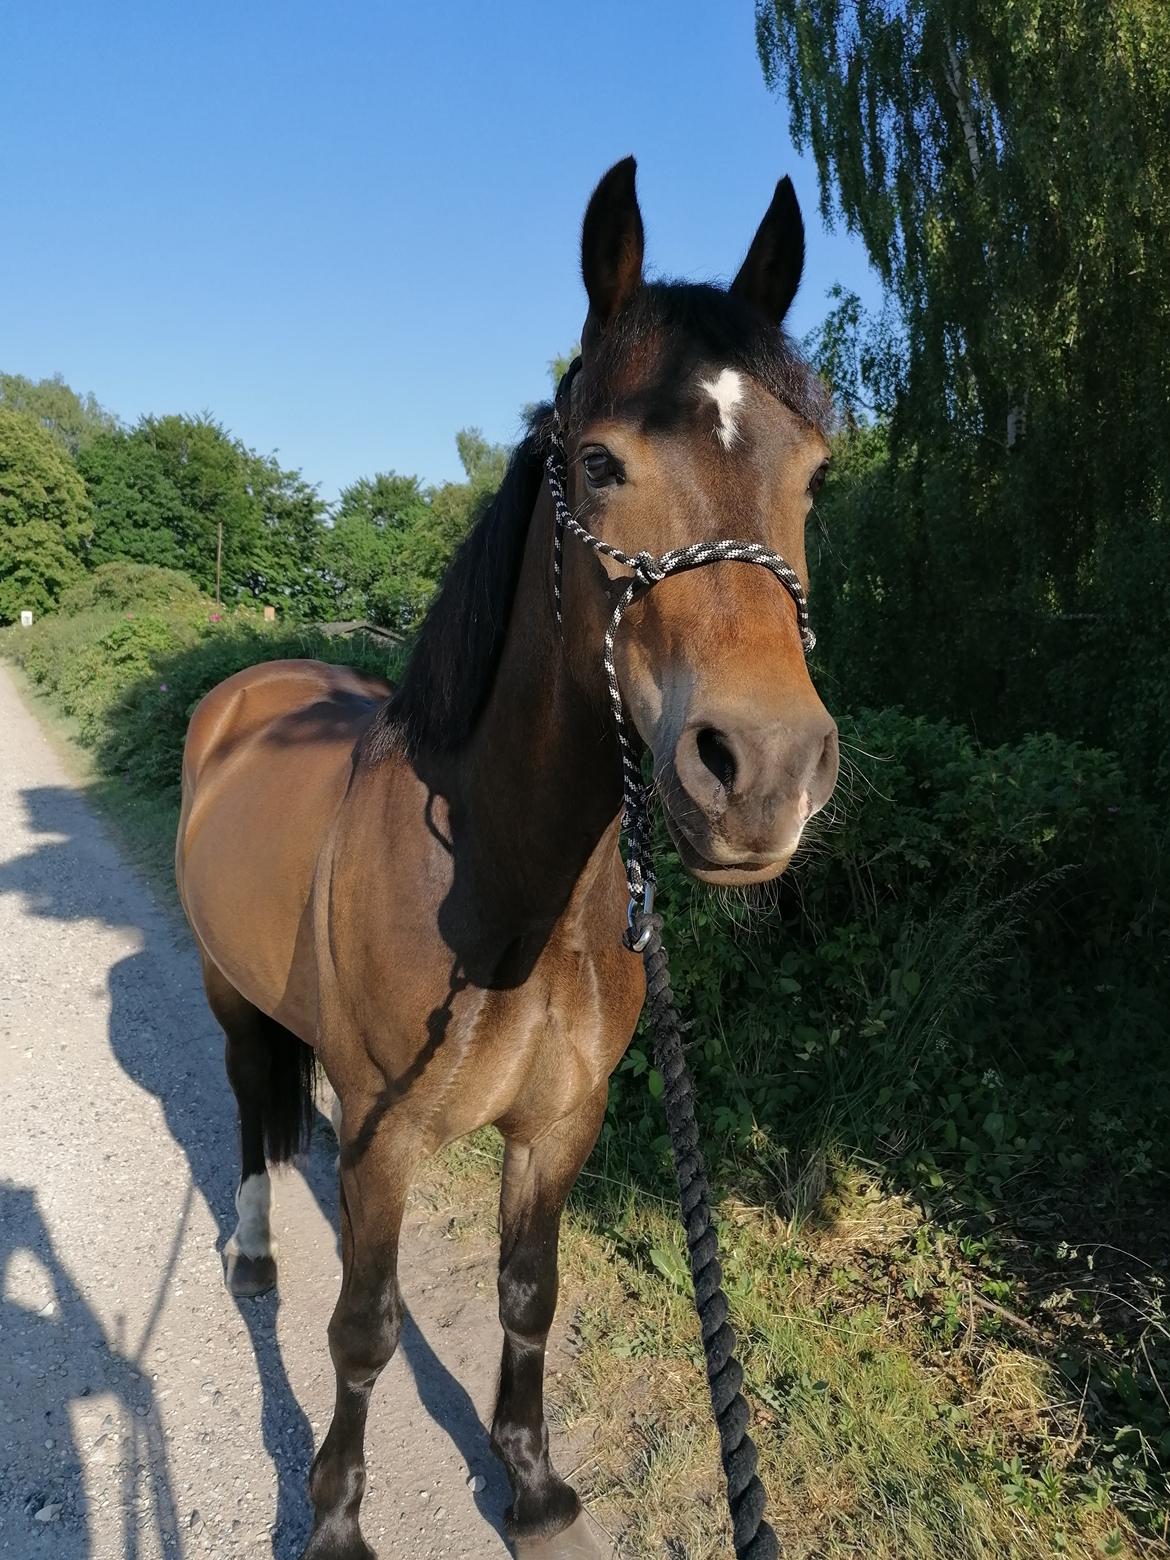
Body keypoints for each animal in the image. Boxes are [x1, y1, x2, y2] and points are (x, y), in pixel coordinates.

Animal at [176, 155, 839, 1560]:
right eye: (597, 461)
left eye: (815, 477)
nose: (762, 772)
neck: (504, 894)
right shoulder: (386, 1150)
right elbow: (362, 1331)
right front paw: (335, 1516)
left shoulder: (559, 1128)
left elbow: (529, 1293)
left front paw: (530, 1485)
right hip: (229, 992)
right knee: (251, 1101)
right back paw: (253, 1253)